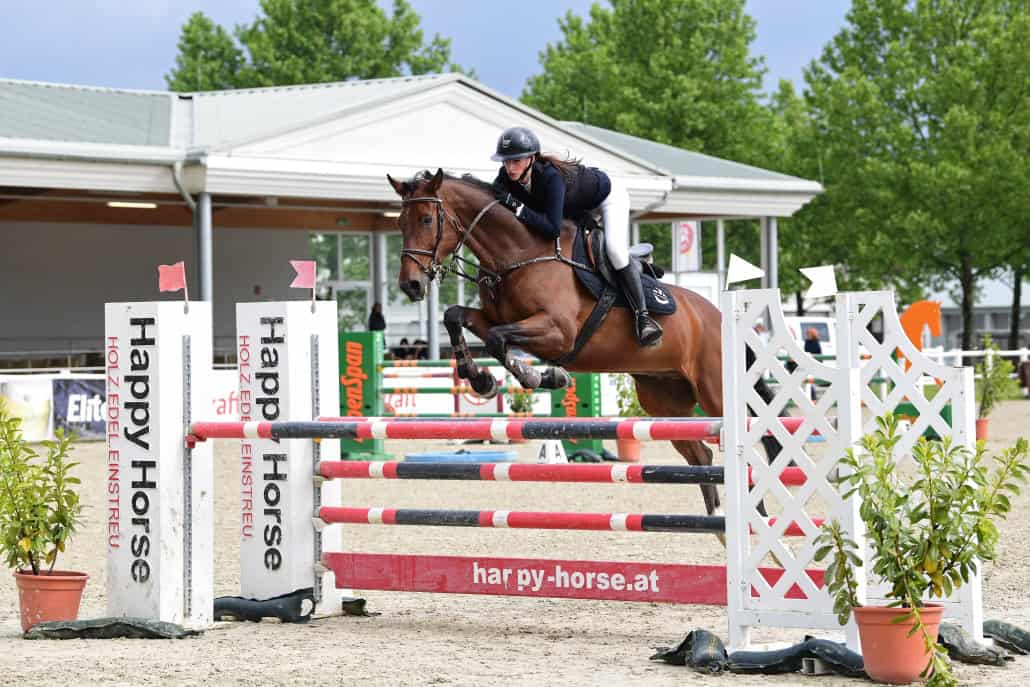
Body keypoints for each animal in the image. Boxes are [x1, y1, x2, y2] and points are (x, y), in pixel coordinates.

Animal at [386, 168, 780, 519]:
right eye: (399, 223)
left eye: (426, 220)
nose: (410, 285)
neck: (517, 253)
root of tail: (719, 315)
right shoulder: (493, 318)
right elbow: (457, 317)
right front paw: (481, 378)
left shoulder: (558, 332)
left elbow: (500, 340)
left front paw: (540, 377)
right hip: (663, 398)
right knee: (701, 456)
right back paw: (719, 521)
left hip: (715, 391)